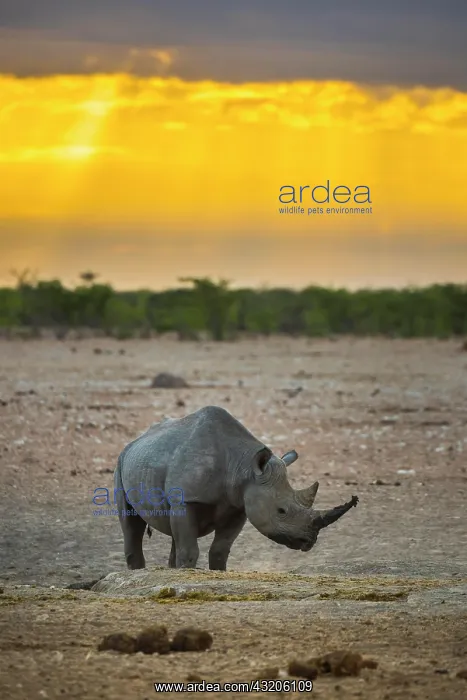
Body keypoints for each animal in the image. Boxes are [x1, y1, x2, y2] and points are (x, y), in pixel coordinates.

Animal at [114, 405, 358, 570]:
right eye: (281, 511)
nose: (309, 541)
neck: (242, 467)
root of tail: (136, 440)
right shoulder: (187, 499)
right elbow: (190, 550)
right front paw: (187, 572)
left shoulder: (239, 504)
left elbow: (220, 550)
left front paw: (216, 572)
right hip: (121, 461)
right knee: (131, 523)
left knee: (174, 532)